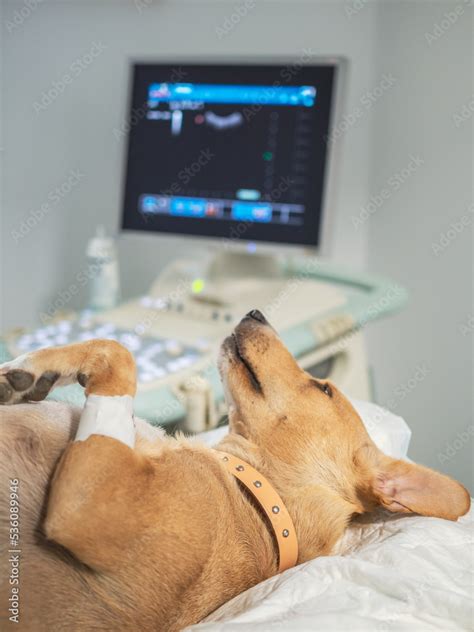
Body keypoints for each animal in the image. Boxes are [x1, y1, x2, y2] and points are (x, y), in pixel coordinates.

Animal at [0, 310, 468, 628]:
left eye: (324, 388)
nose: (256, 313)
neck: (259, 501)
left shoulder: (92, 502)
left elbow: (120, 352)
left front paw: (34, 365)